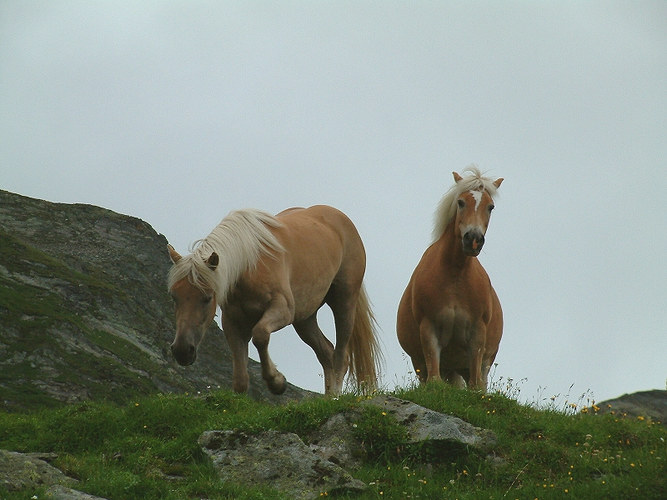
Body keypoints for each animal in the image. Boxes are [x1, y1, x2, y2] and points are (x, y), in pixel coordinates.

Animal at [166, 205, 380, 396]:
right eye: (174, 296)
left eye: (207, 297)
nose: (182, 351)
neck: (250, 264)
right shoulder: (233, 323)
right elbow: (241, 381)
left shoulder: (282, 310)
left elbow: (260, 335)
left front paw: (276, 382)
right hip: (305, 318)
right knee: (326, 353)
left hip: (344, 302)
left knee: (340, 358)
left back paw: (335, 396)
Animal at [400, 168, 504, 390]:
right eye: (461, 202)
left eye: (490, 206)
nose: (473, 239)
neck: (454, 276)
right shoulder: (428, 327)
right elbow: (434, 380)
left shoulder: (478, 332)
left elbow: (475, 384)